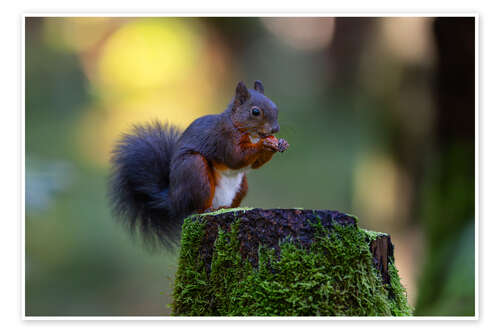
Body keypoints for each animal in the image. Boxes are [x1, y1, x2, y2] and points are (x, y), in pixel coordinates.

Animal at [109, 80, 290, 246]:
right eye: (255, 111)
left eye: (276, 108)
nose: (275, 129)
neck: (242, 128)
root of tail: (173, 201)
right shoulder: (222, 139)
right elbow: (236, 157)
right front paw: (264, 144)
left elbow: (255, 164)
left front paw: (280, 143)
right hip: (195, 169)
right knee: (196, 208)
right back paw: (210, 209)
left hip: (241, 186)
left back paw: (225, 208)